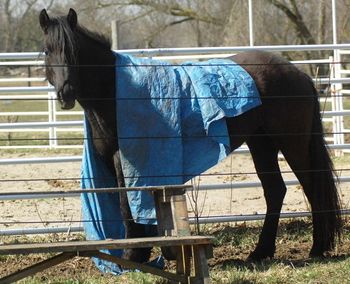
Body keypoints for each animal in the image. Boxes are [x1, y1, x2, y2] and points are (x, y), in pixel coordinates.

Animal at [39, 8, 342, 262]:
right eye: (46, 51)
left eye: (74, 51)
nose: (65, 93)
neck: (115, 91)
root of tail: (299, 74)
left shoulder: (125, 159)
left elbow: (128, 205)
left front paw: (134, 255)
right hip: (262, 145)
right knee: (275, 191)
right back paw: (261, 251)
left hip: (292, 144)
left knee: (311, 186)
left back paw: (317, 248)